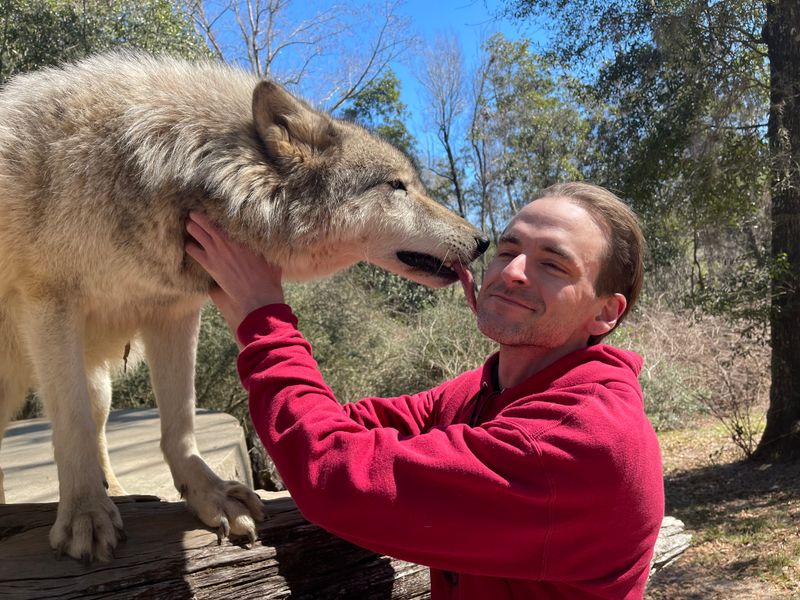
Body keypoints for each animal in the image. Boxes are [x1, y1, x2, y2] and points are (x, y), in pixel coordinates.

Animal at [0, 52, 488, 563]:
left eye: (411, 184)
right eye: (397, 186)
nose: (481, 241)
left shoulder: (173, 311)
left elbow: (180, 422)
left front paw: (210, 493)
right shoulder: (48, 302)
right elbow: (71, 425)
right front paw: (85, 513)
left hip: (98, 382)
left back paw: (114, 489)